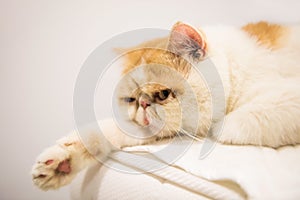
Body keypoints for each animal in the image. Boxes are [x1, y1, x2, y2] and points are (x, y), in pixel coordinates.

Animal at [31, 21, 300, 191]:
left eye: (163, 94)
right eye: (130, 100)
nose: (143, 104)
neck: (236, 72)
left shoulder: (288, 99)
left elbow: (232, 125)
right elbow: (102, 133)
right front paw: (61, 163)